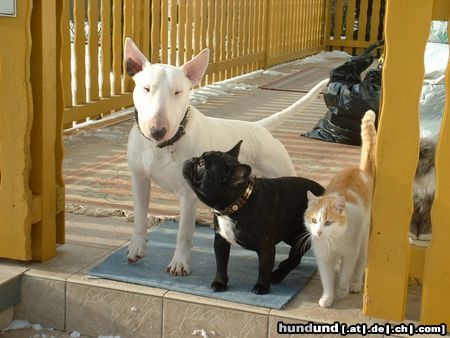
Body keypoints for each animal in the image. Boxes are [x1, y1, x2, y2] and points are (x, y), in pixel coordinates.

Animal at [183, 140, 324, 294]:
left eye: (202, 163)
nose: (192, 159)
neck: (237, 204)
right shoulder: (221, 240)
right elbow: (221, 263)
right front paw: (219, 282)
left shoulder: (266, 247)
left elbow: (263, 267)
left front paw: (262, 286)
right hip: (290, 235)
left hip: (301, 235)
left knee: (295, 257)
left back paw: (277, 275)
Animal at [306, 109, 376, 308]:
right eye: (314, 220)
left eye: (328, 222)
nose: (319, 232)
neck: (333, 241)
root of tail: (360, 171)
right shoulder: (324, 257)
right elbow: (327, 279)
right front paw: (327, 298)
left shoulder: (350, 253)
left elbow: (346, 273)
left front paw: (343, 291)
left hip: (364, 240)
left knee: (359, 265)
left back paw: (355, 285)